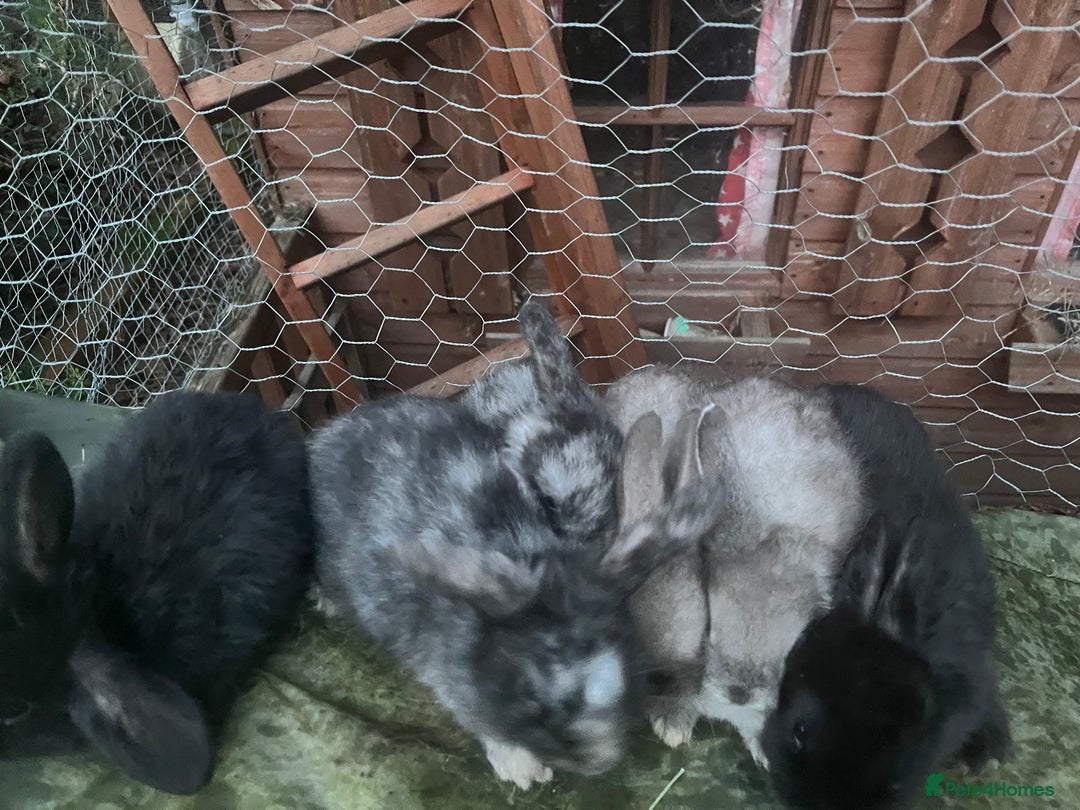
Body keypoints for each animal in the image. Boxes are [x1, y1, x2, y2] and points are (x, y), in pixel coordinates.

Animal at [310, 388, 726, 790]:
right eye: (533, 706)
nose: (598, 764)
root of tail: (331, 431)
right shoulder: (451, 677)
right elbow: (480, 719)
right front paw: (524, 771)